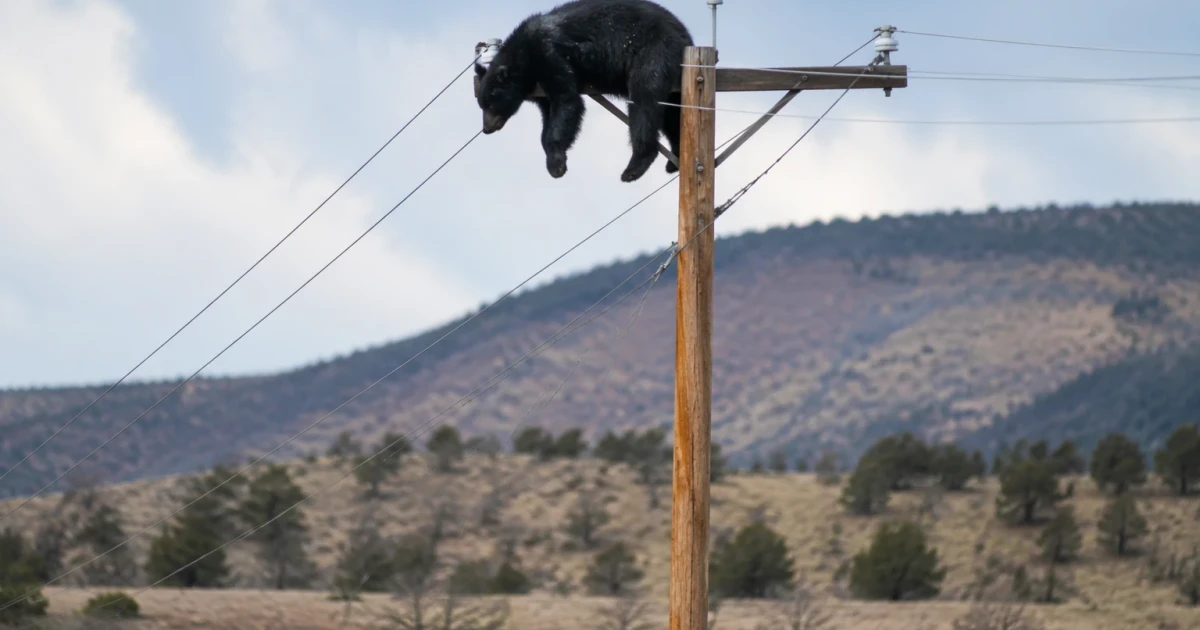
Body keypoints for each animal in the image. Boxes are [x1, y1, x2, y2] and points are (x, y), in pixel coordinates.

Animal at [475, 0, 694, 183]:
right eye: (481, 105)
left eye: (490, 103)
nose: (486, 128)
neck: (522, 55)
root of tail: (686, 38)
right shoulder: (539, 88)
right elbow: (550, 113)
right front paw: (554, 157)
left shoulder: (549, 54)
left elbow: (567, 100)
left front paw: (556, 165)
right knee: (672, 115)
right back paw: (673, 160)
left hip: (654, 52)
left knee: (644, 101)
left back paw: (633, 168)